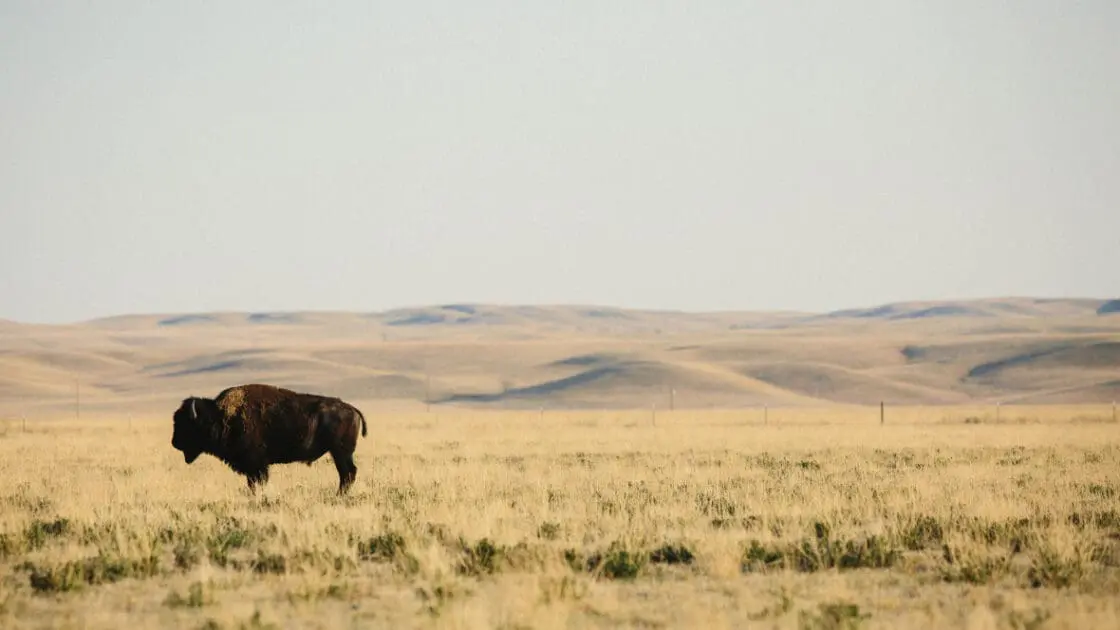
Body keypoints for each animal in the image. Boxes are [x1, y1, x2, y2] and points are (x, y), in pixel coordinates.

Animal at [171, 383, 368, 494]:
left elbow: (257, 482)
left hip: (340, 452)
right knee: (347, 474)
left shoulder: (256, 465)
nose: (174, 442)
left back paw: (339, 495)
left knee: (348, 473)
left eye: (187, 424)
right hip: (339, 453)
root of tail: (352, 409)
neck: (221, 416)